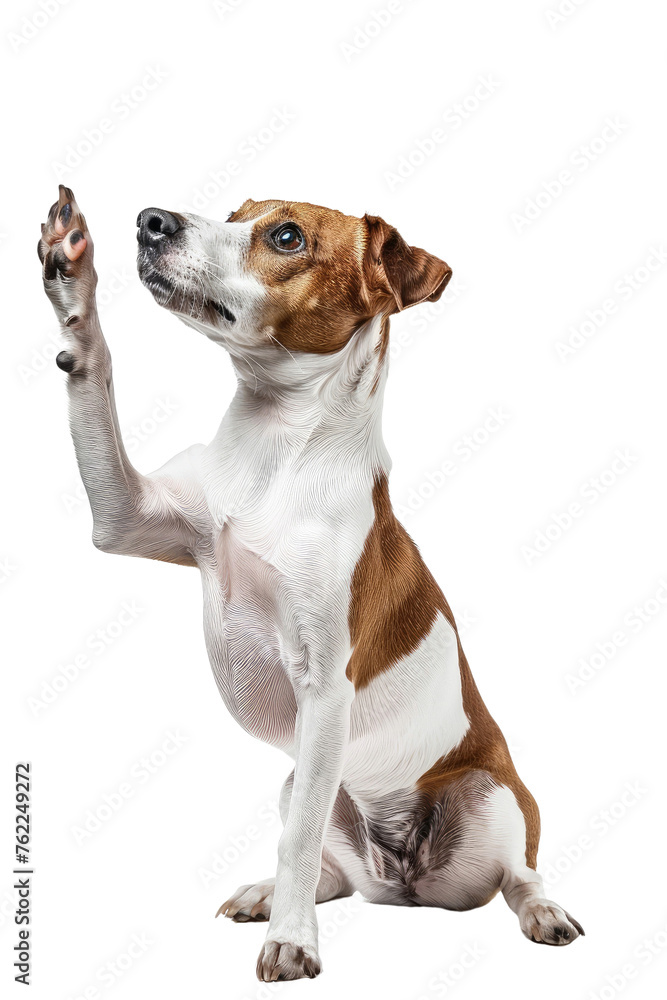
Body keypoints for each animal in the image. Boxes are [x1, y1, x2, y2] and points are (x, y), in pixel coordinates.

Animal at [40, 184, 584, 980]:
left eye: (287, 237)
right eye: (235, 215)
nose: (149, 221)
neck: (273, 450)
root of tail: (404, 882)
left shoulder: (325, 687)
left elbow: (297, 841)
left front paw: (293, 943)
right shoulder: (125, 516)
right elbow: (96, 379)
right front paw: (73, 281)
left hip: (491, 796)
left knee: (518, 875)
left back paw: (542, 911)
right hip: (301, 781)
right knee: (326, 868)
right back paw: (268, 894)